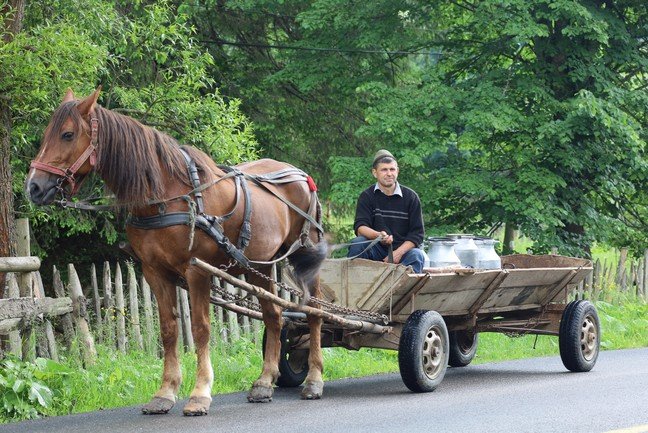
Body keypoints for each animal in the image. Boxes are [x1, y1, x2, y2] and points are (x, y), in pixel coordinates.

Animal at [26, 88, 330, 416]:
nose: (33, 187)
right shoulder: (155, 272)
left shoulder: (196, 271)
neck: (166, 196)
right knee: (274, 315)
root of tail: (301, 176)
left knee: (315, 313)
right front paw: (165, 392)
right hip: (259, 265)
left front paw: (200, 393)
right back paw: (264, 382)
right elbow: (169, 330)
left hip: (305, 257)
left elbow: (200, 329)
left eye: (67, 134)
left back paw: (314, 380)